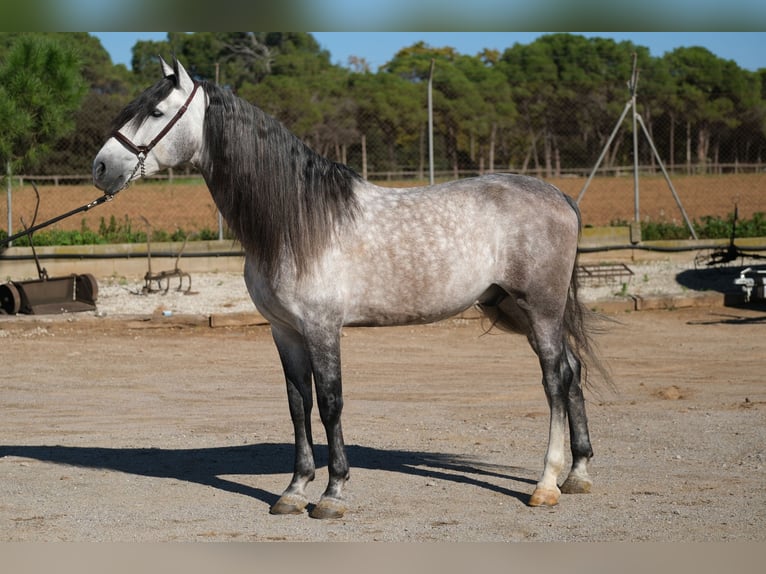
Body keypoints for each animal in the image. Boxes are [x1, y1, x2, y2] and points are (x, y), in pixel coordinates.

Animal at [91, 57, 608, 520]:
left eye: (157, 112)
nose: (100, 167)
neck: (296, 220)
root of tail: (559, 196)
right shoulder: (284, 332)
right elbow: (298, 404)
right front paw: (294, 491)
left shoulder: (322, 328)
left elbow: (330, 402)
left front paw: (333, 493)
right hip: (515, 310)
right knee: (572, 370)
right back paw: (579, 474)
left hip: (540, 309)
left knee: (553, 380)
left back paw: (546, 485)